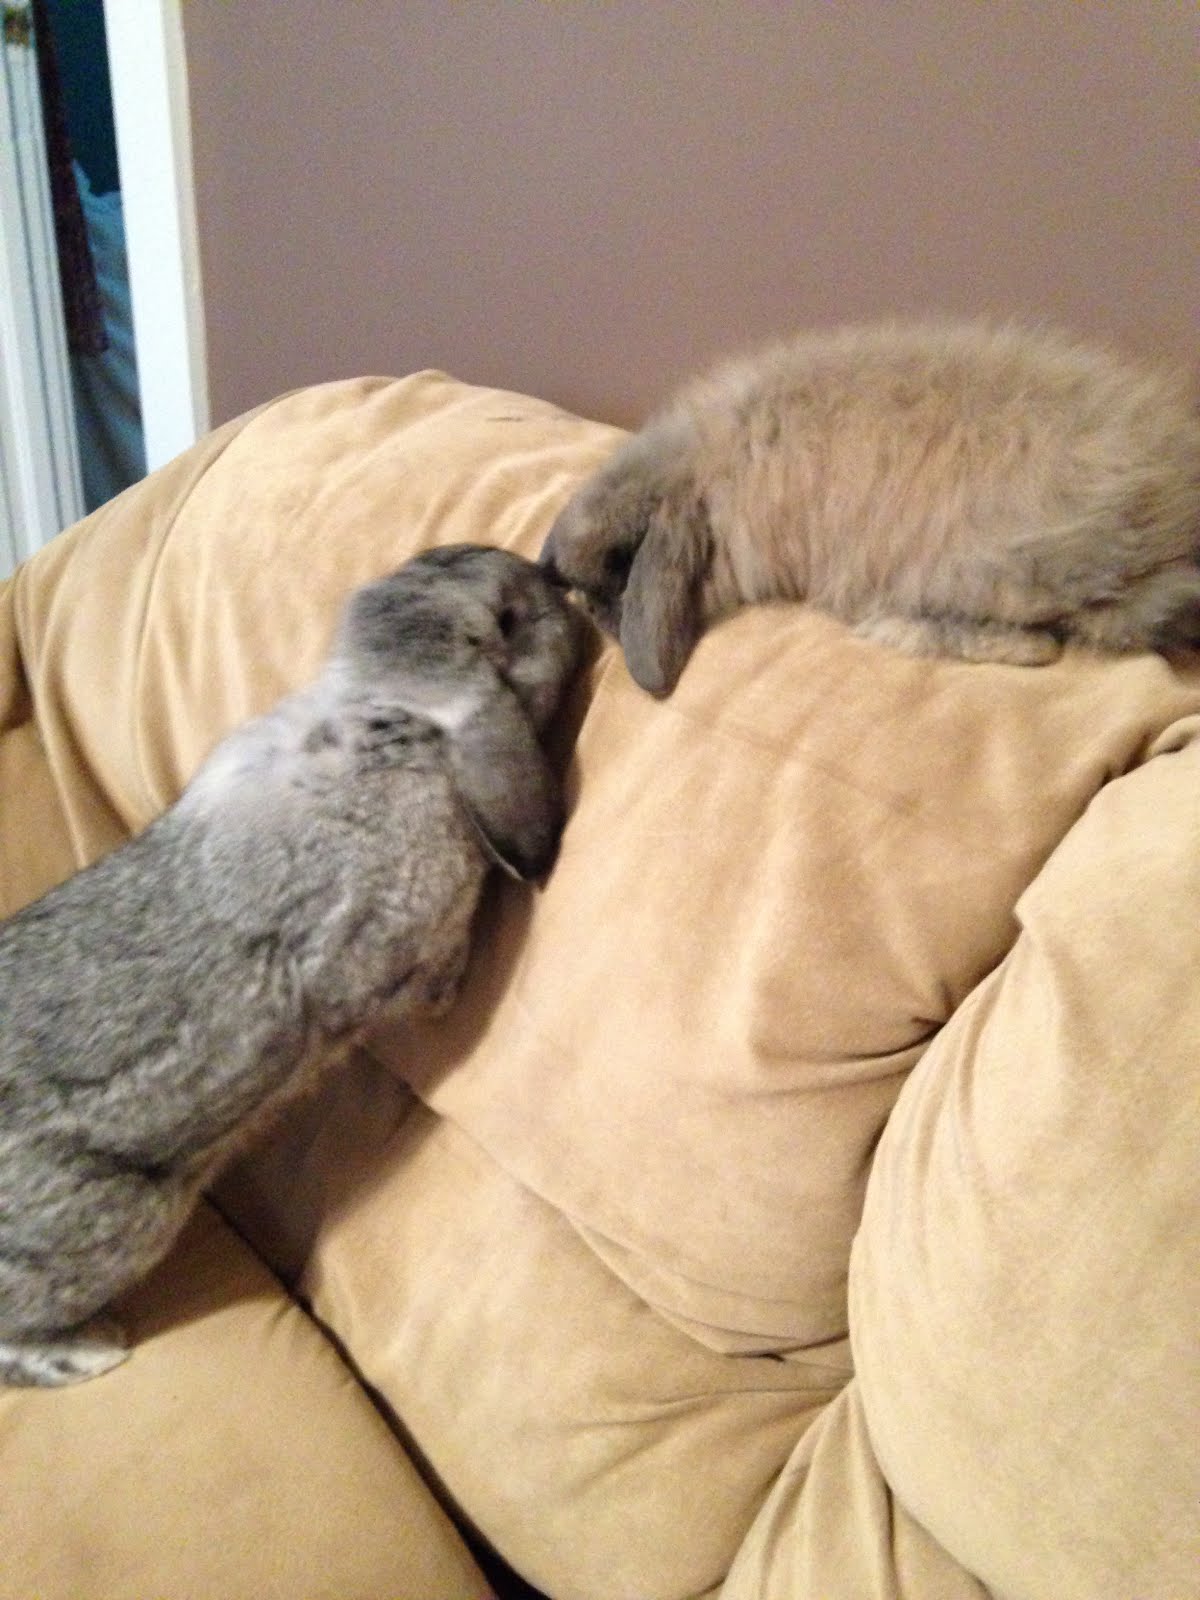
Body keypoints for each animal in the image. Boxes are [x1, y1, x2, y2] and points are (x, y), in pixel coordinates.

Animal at [0, 543, 584, 1386]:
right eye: (507, 616)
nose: (553, 576)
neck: (389, 712)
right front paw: (450, 989)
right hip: (110, 1231)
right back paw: (92, 1353)